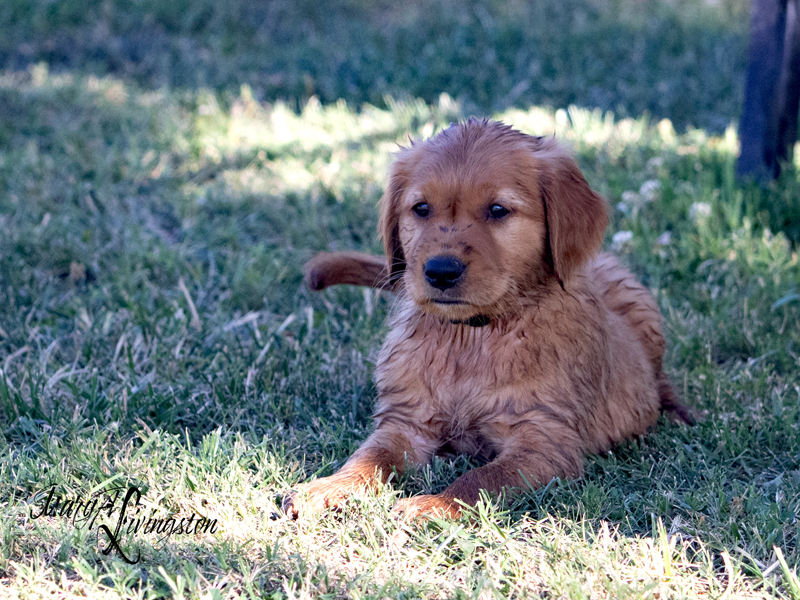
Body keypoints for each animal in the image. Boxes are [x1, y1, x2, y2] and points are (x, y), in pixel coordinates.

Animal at [284, 119, 692, 516]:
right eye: (421, 208)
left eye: (497, 210)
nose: (440, 271)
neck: (473, 336)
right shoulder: (407, 424)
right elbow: (369, 458)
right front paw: (325, 487)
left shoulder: (543, 440)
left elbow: (479, 480)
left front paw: (431, 506)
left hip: (635, 296)